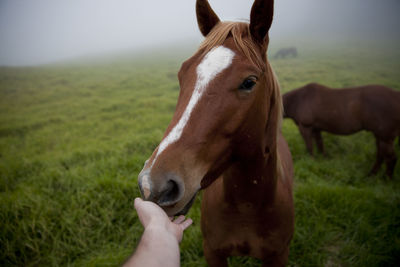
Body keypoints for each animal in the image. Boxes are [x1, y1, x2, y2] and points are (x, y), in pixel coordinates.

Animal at [138, 0, 294, 266]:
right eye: (182, 74)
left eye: (249, 82)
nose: (154, 185)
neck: (247, 207)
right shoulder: (212, 251)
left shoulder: (278, 256)